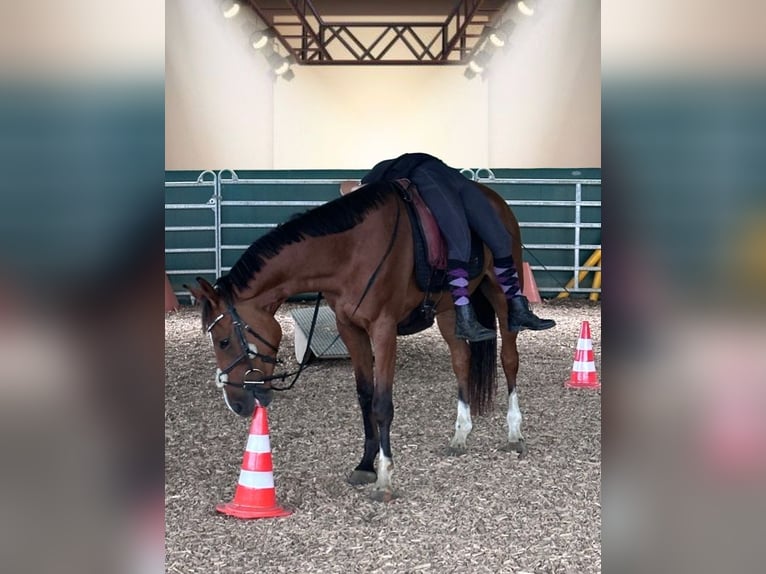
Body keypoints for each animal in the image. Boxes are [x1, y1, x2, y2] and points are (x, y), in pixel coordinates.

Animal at [189, 181, 532, 504]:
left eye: (223, 341)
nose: (236, 403)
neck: (349, 252)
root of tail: (493, 199)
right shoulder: (350, 329)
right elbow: (365, 397)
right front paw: (366, 465)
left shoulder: (383, 330)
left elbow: (382, 404)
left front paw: (384, 478)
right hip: (449, 309)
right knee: (461, 359)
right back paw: (461, 434)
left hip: (501, 294)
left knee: (509, 359)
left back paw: (514, 432)